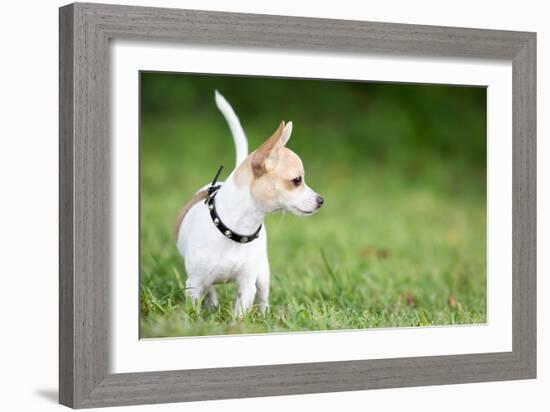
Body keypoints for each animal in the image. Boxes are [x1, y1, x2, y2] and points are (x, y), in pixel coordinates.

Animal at [175, 91, 326, 316]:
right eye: (297, 180)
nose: (321, 200)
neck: (234, 230)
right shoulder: (194, 285)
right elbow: (194, 308)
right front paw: (195, 320)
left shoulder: (247, 285)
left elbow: (240, 313)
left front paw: (238, 322)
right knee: (211, 290)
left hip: (263, 274)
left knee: (263, 297)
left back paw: (264, 316)